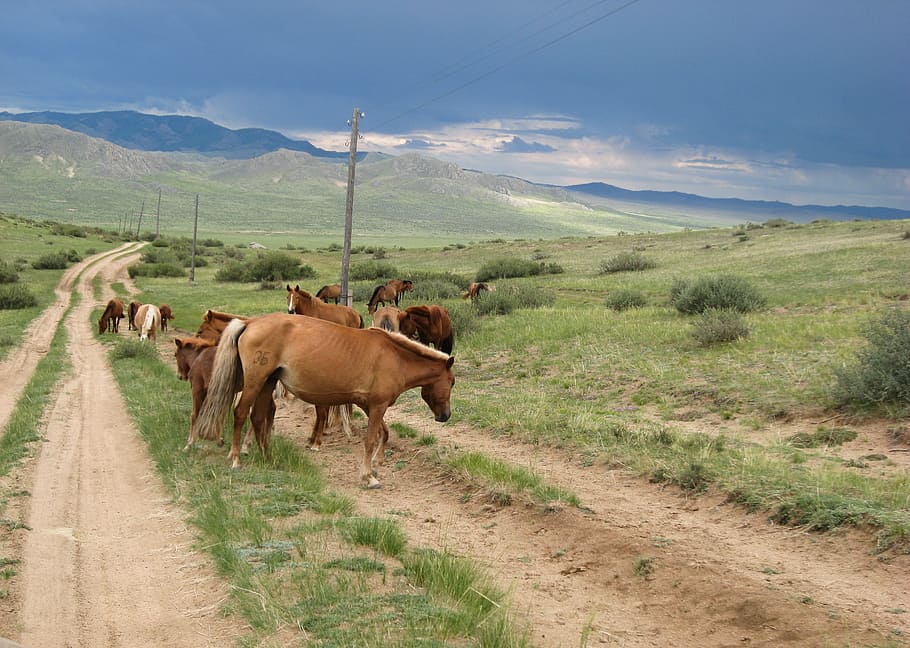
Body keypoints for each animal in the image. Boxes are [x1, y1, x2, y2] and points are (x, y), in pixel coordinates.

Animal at [194, 312, 454, 486]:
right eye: (452, 383)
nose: (445, 416)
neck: (395, 358)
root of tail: (250, 323)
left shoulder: (369, 406)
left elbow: (385, 433)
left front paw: (377, 465)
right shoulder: (377, 406)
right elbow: (371, 439)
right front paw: (368, 476)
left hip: (267, 383)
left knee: (258, 418)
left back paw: (268, 457)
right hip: (255, 381)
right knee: (240, 414)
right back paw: (236, 459)